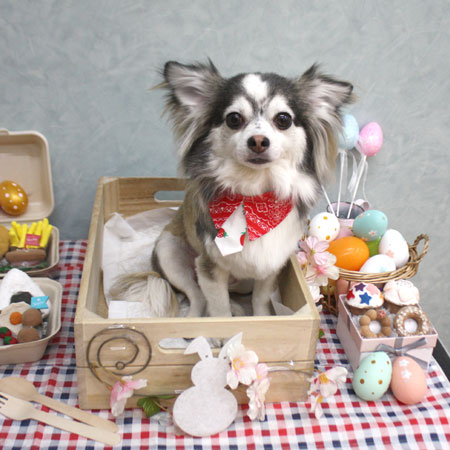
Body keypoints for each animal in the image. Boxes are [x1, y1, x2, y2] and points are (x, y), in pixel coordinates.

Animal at [119, 61, 354, 318]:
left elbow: (260, 299)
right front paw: (222, 325)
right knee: (197, 297)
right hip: (169, 251)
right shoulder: (210, 268)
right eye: (233, 119)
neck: (253, 198)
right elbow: (219, 309)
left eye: (283, 119)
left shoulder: (271, 266)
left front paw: (261, 318)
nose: (258, 140)